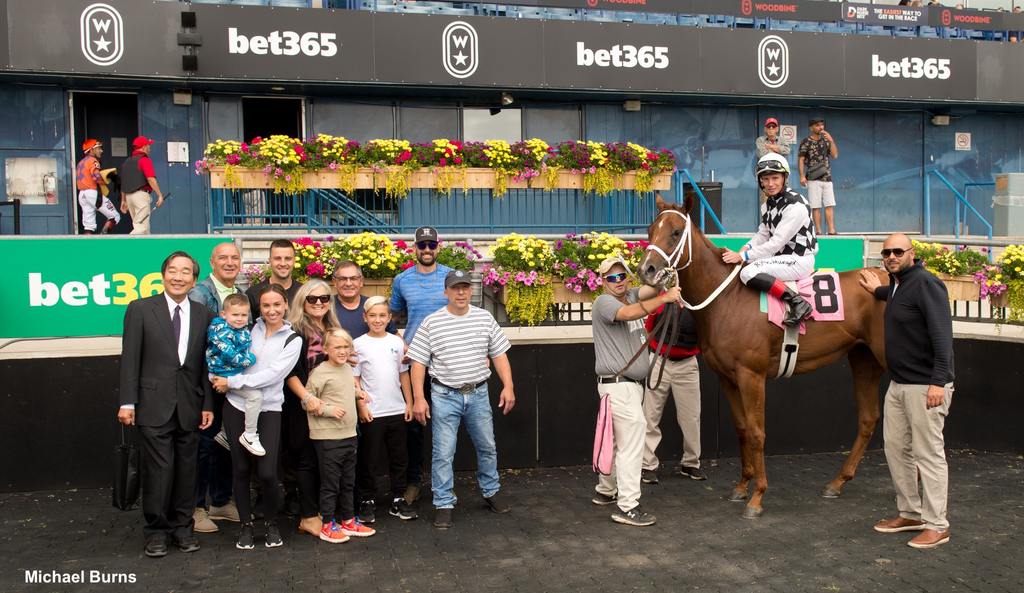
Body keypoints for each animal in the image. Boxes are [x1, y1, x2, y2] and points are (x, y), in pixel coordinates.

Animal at [638, 192, 888, 518]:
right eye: (650, 230)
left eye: (676, 232)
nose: (646, 270)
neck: (727, 298)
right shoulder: (728, 378)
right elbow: (743, 429)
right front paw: (742, 487)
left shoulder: (751, 375)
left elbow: (758, 432)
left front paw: (757, 497)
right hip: (863, 359)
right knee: (868, 418)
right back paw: (837, 481)